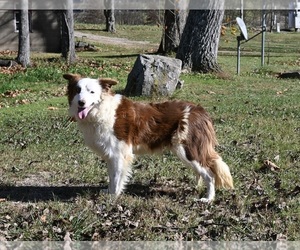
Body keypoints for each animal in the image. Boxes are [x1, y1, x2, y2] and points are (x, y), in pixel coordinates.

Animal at [63, 73, 233, 202]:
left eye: (92, 92)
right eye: (77, 90)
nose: (81, 102)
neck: (102, 110)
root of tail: (200, 110)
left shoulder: (120, 154)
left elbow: (117, 178)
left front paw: (114, 197)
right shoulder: (111, 155)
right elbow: (111, 177)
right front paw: (109, 192)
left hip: (187, 150)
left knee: (210, 174)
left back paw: (208, 198)